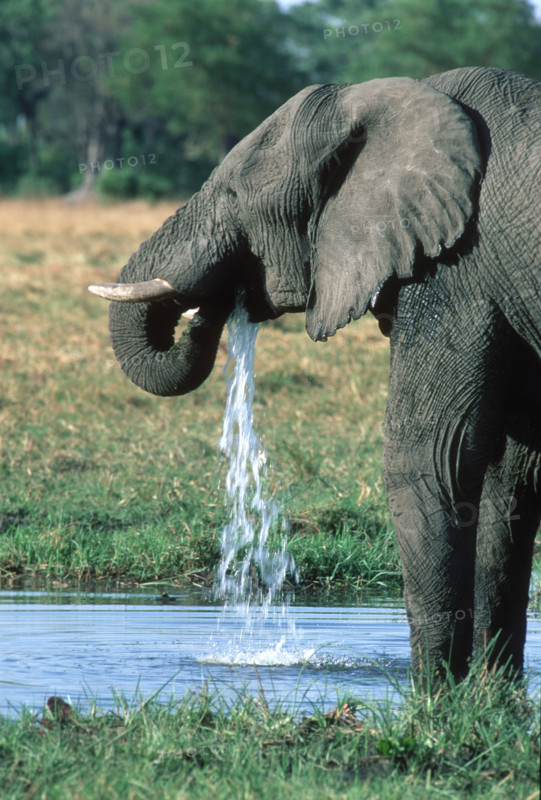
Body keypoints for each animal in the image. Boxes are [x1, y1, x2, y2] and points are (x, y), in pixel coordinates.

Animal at [90, 66, 541, 682]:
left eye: (234, 195)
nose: (220, 301)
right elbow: (509, 477)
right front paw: (488, 692)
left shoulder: (455, 269)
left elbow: (429, 457)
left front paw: (434, 693)